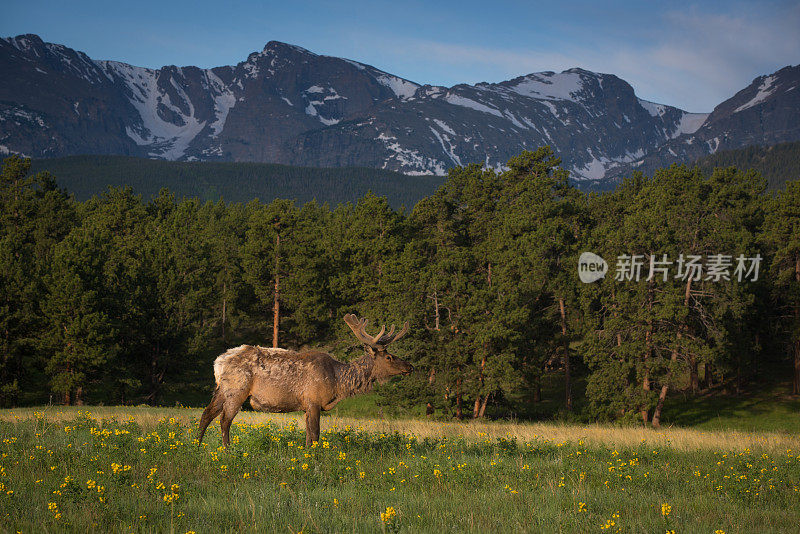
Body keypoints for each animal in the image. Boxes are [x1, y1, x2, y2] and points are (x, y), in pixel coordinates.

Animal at [198, 316, 412, 450]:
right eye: (389, 357)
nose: (410, 366)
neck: (338, 382)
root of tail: (218, 361)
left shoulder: (306, 406)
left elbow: (308, 435)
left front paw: (307, 454)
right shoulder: (313, 400)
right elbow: (315, 434)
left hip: (221, 390)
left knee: (206, 414)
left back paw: (197, 445)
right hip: (237, 390)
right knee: (224, 420)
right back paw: (227, 450)